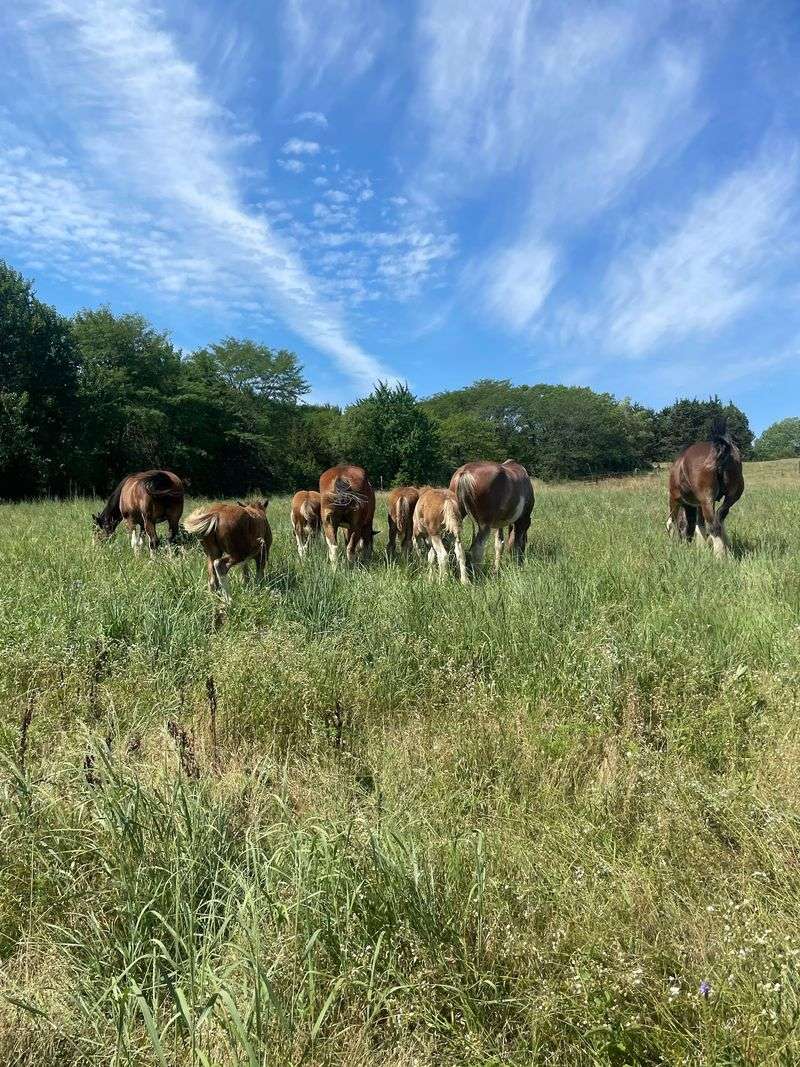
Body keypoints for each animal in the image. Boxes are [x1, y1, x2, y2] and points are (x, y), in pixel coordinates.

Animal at [667, 417, 744, 557]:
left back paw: (720, 556)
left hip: (706, 499)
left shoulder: (675, 498)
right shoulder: (699, 504)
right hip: (732, 495)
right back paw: (726, 548)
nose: (684, 542)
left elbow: (672, 522)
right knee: (720, 516)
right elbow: (700, 524)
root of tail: (719, 446)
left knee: (714, 525)